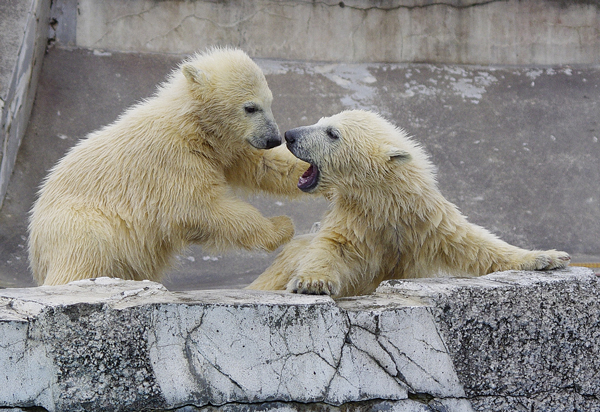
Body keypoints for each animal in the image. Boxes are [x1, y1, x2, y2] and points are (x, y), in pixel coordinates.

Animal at [29, 48, 310, 286]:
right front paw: (281, 226)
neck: (189, 125)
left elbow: (264, 164)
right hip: (78, 225)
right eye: (250, 107)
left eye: (270, 102)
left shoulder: (225, 148)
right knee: (86, 253)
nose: (273, 138)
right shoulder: (173, 161)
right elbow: (200, 208)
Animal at [250, 109, 572, 296]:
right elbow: (333, 247)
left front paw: (547, 257)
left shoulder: (427, 221)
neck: (387, 203)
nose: (290, 135)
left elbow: (475, 245)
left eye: (332, 133)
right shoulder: (357, 220)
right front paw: (311, 282)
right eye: (320, 121)